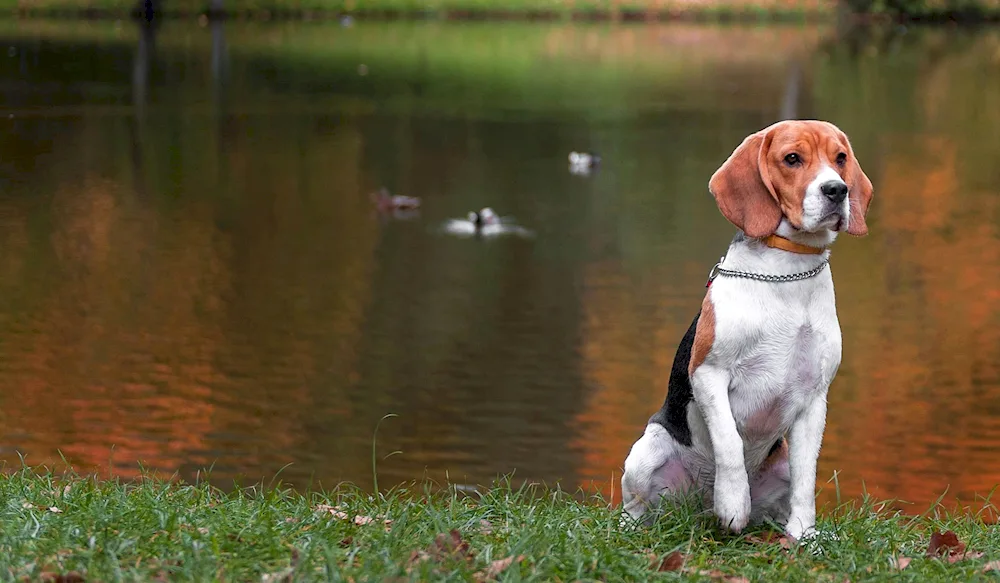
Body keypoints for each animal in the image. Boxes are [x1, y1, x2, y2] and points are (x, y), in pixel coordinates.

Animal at [620, 120, 872, 544]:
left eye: (840, 158)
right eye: (792, 158)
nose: (837, 190)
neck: (788, 271)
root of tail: (696, 509)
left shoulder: (814, 397)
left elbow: (807, 477)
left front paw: (804, 535)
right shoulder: (708, 373)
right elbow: (729, 442)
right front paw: (733, 504)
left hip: (779, 465)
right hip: (646, 451)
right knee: (635, 507)